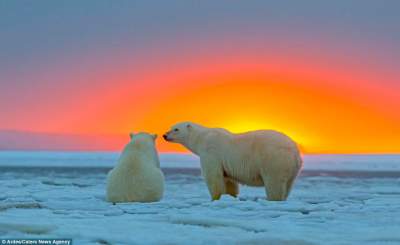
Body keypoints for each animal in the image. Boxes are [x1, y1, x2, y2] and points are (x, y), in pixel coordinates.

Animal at [162, 122, 304, 201]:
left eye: (176, 129)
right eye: (171, 127)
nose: (165, 135)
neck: (202, 138)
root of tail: (295, 151)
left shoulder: (211, 152)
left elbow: (213, 177)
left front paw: (215, 198)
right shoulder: (225, 163)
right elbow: (228, 181)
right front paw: (230, 196)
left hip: (273, 160)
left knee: (274, 184)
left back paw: (273, 199)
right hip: (291, 169)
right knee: (288, 185)